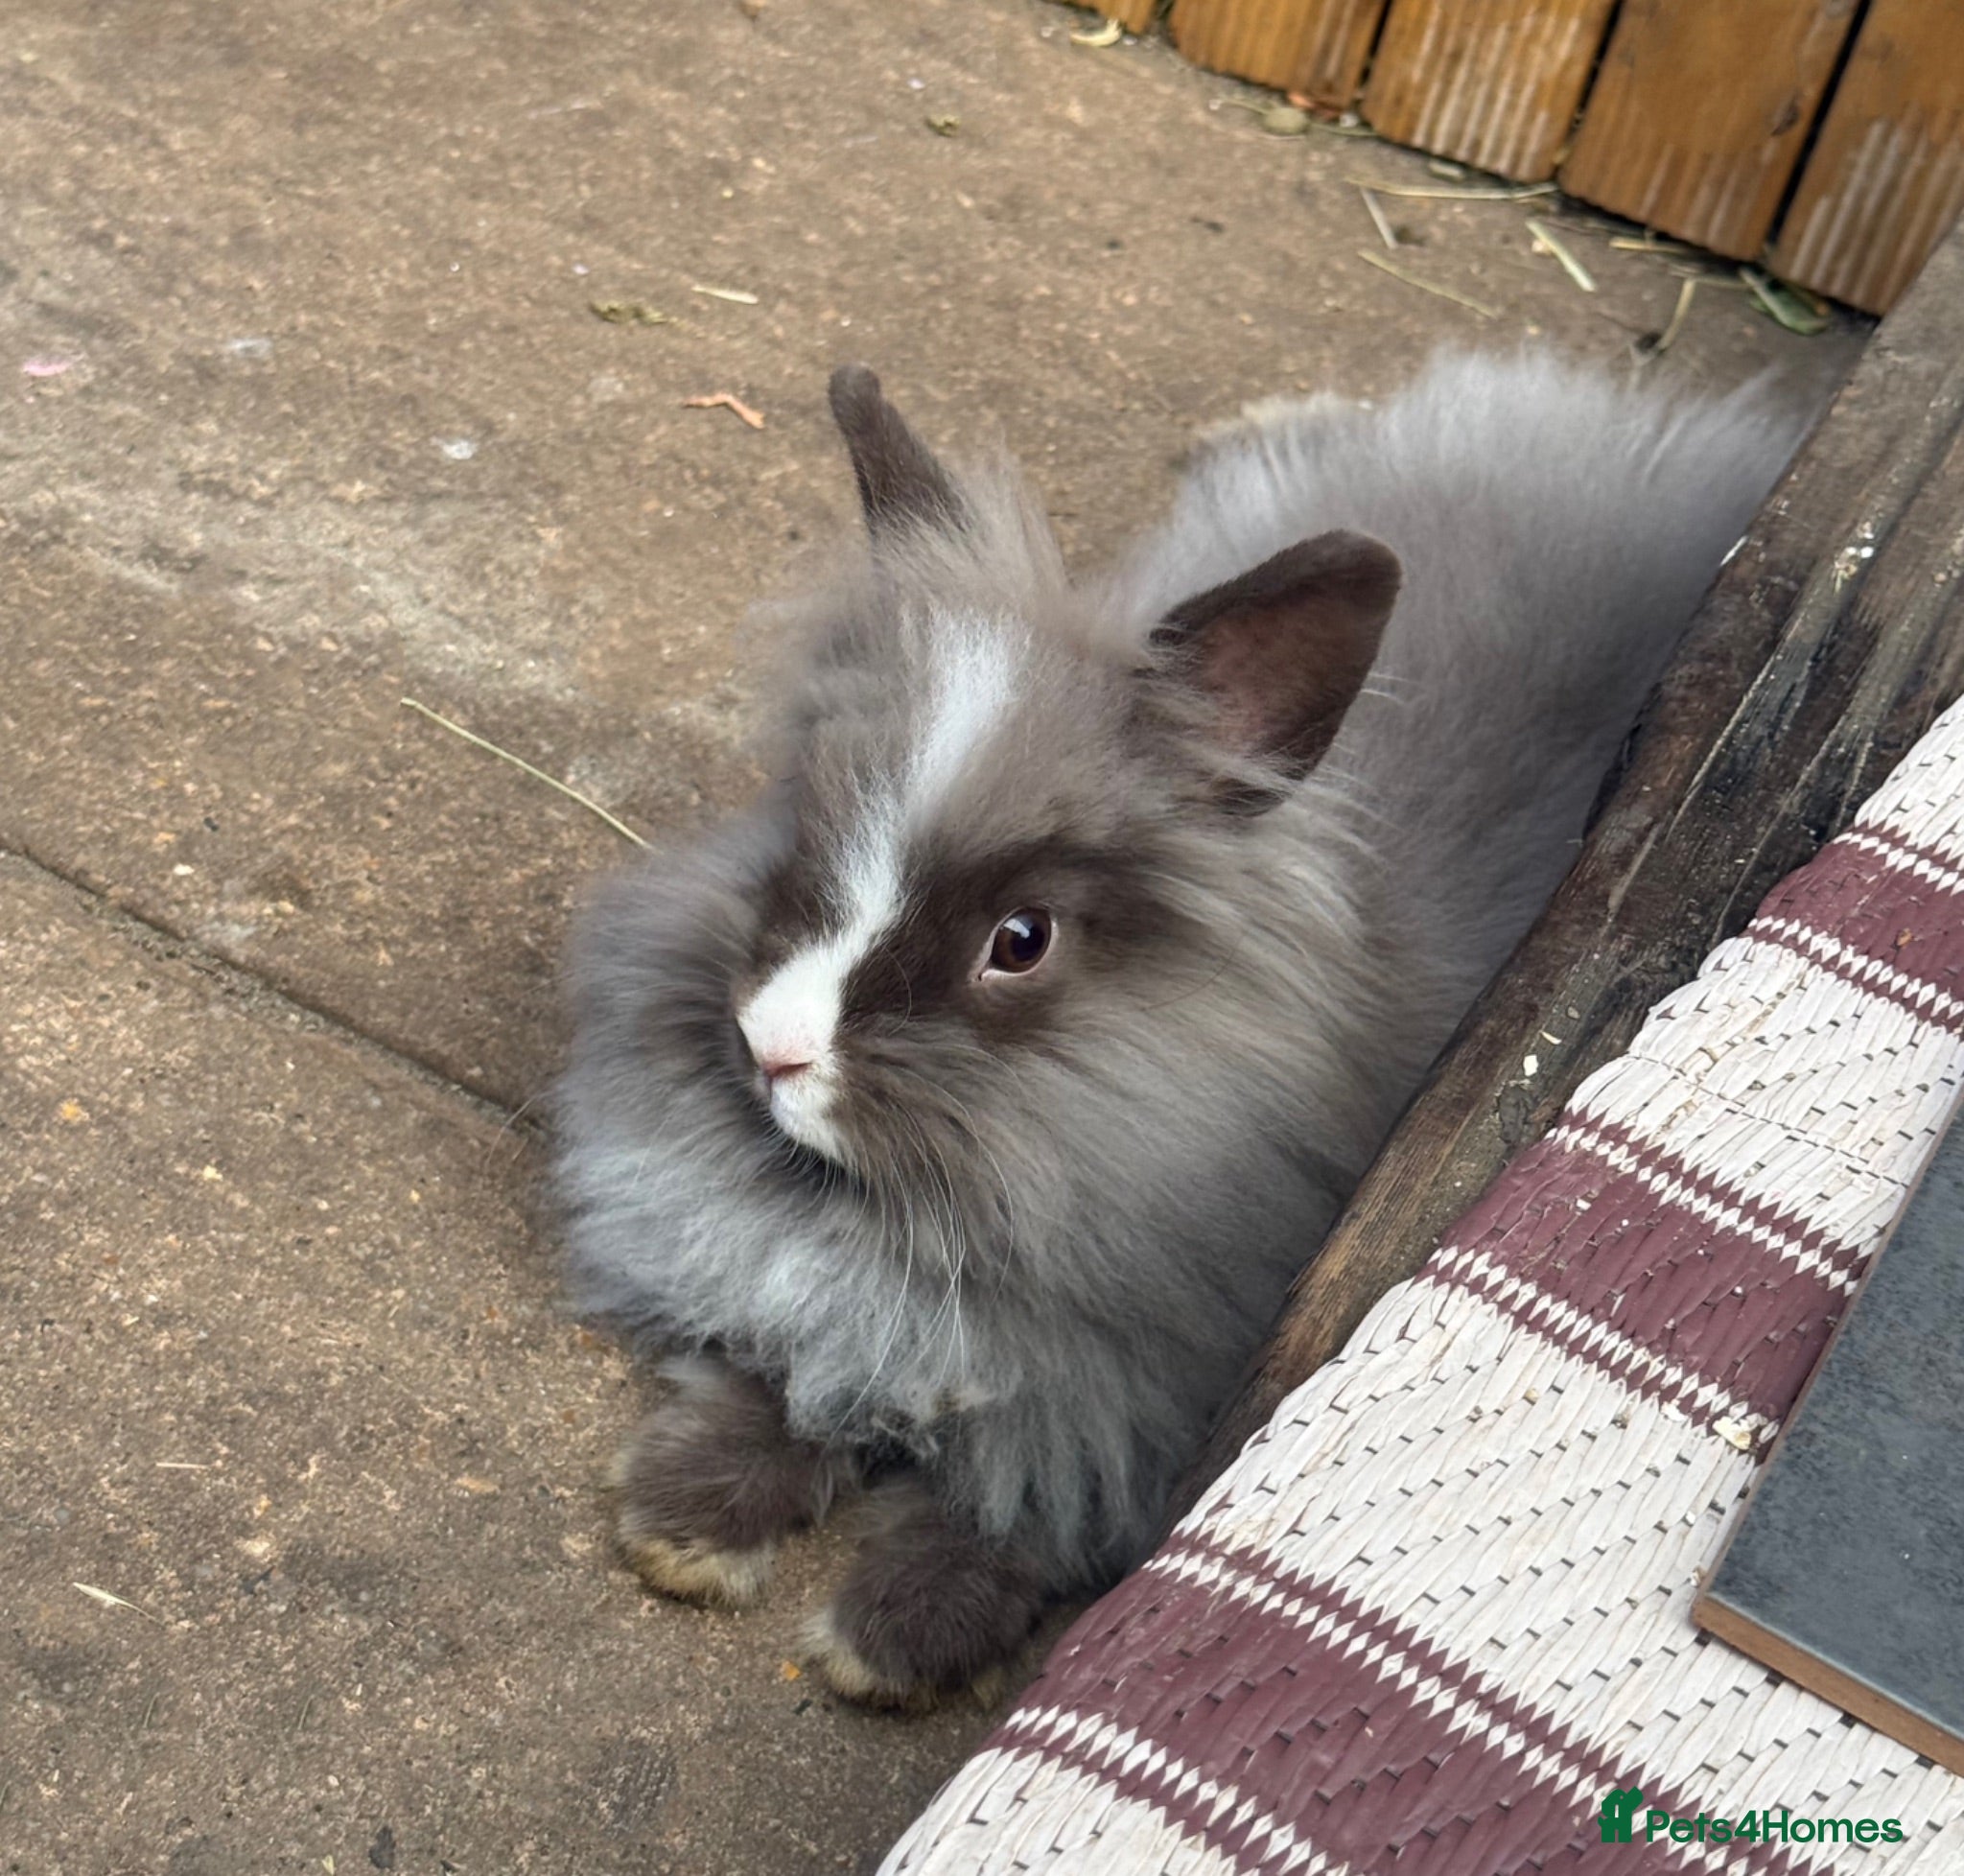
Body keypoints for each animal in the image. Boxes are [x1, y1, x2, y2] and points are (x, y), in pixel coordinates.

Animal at [553, 351, 1809, 1707]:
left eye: (1021, 939)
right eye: (804, 828)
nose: (769, 1048)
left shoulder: (1128, 1411)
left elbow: (1017, 1515)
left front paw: (885, 1644)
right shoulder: (809, 1307)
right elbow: (774, 1371)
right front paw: (681, 1525)